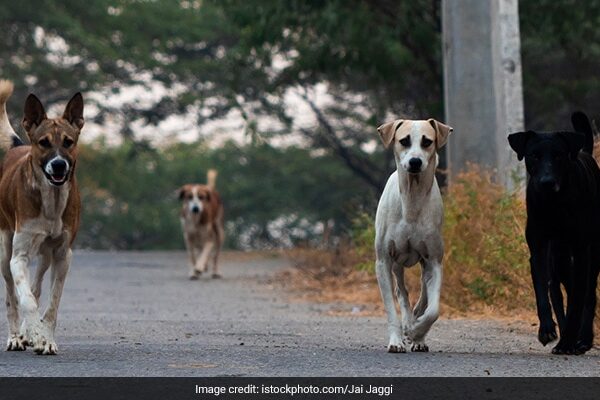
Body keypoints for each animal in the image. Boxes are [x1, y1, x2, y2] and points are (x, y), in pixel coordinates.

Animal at [0, 79, 84, 354]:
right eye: (44, 142)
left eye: (68, 141)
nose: (58, 165)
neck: (51, 201)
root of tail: (18, 145)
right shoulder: (19, 256)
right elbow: (25, 300)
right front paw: (35, 333)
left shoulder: (62, 255)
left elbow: (52, 303)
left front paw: (45, 338)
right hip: (5, 249)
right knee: (12, 297)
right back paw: (16, 337)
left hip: (46, 255)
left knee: (36, 286)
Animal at [372, 117, 452, 352]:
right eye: (404, 140)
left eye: (427, 141)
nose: (415, 162)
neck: (412, 200)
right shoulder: (383, 261)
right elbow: (391, 307)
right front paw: (397, 340)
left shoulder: (434, 260)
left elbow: (433, 310)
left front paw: (417, 333)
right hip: (397, 262)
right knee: (401, 291)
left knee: (423, 294)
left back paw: (416, 331)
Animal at [508, 111, 600, 354]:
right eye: (533, 155)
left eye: (559, 156)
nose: (546, 182)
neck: (554, 204)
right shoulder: (539, 250)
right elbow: (543, 292)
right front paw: (547, 330)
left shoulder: (581, 253)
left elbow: (577, 301)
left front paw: (569, 341)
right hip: (558, 261)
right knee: (559, 293)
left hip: (593, 255)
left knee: (589, 295)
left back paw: (583, 339)